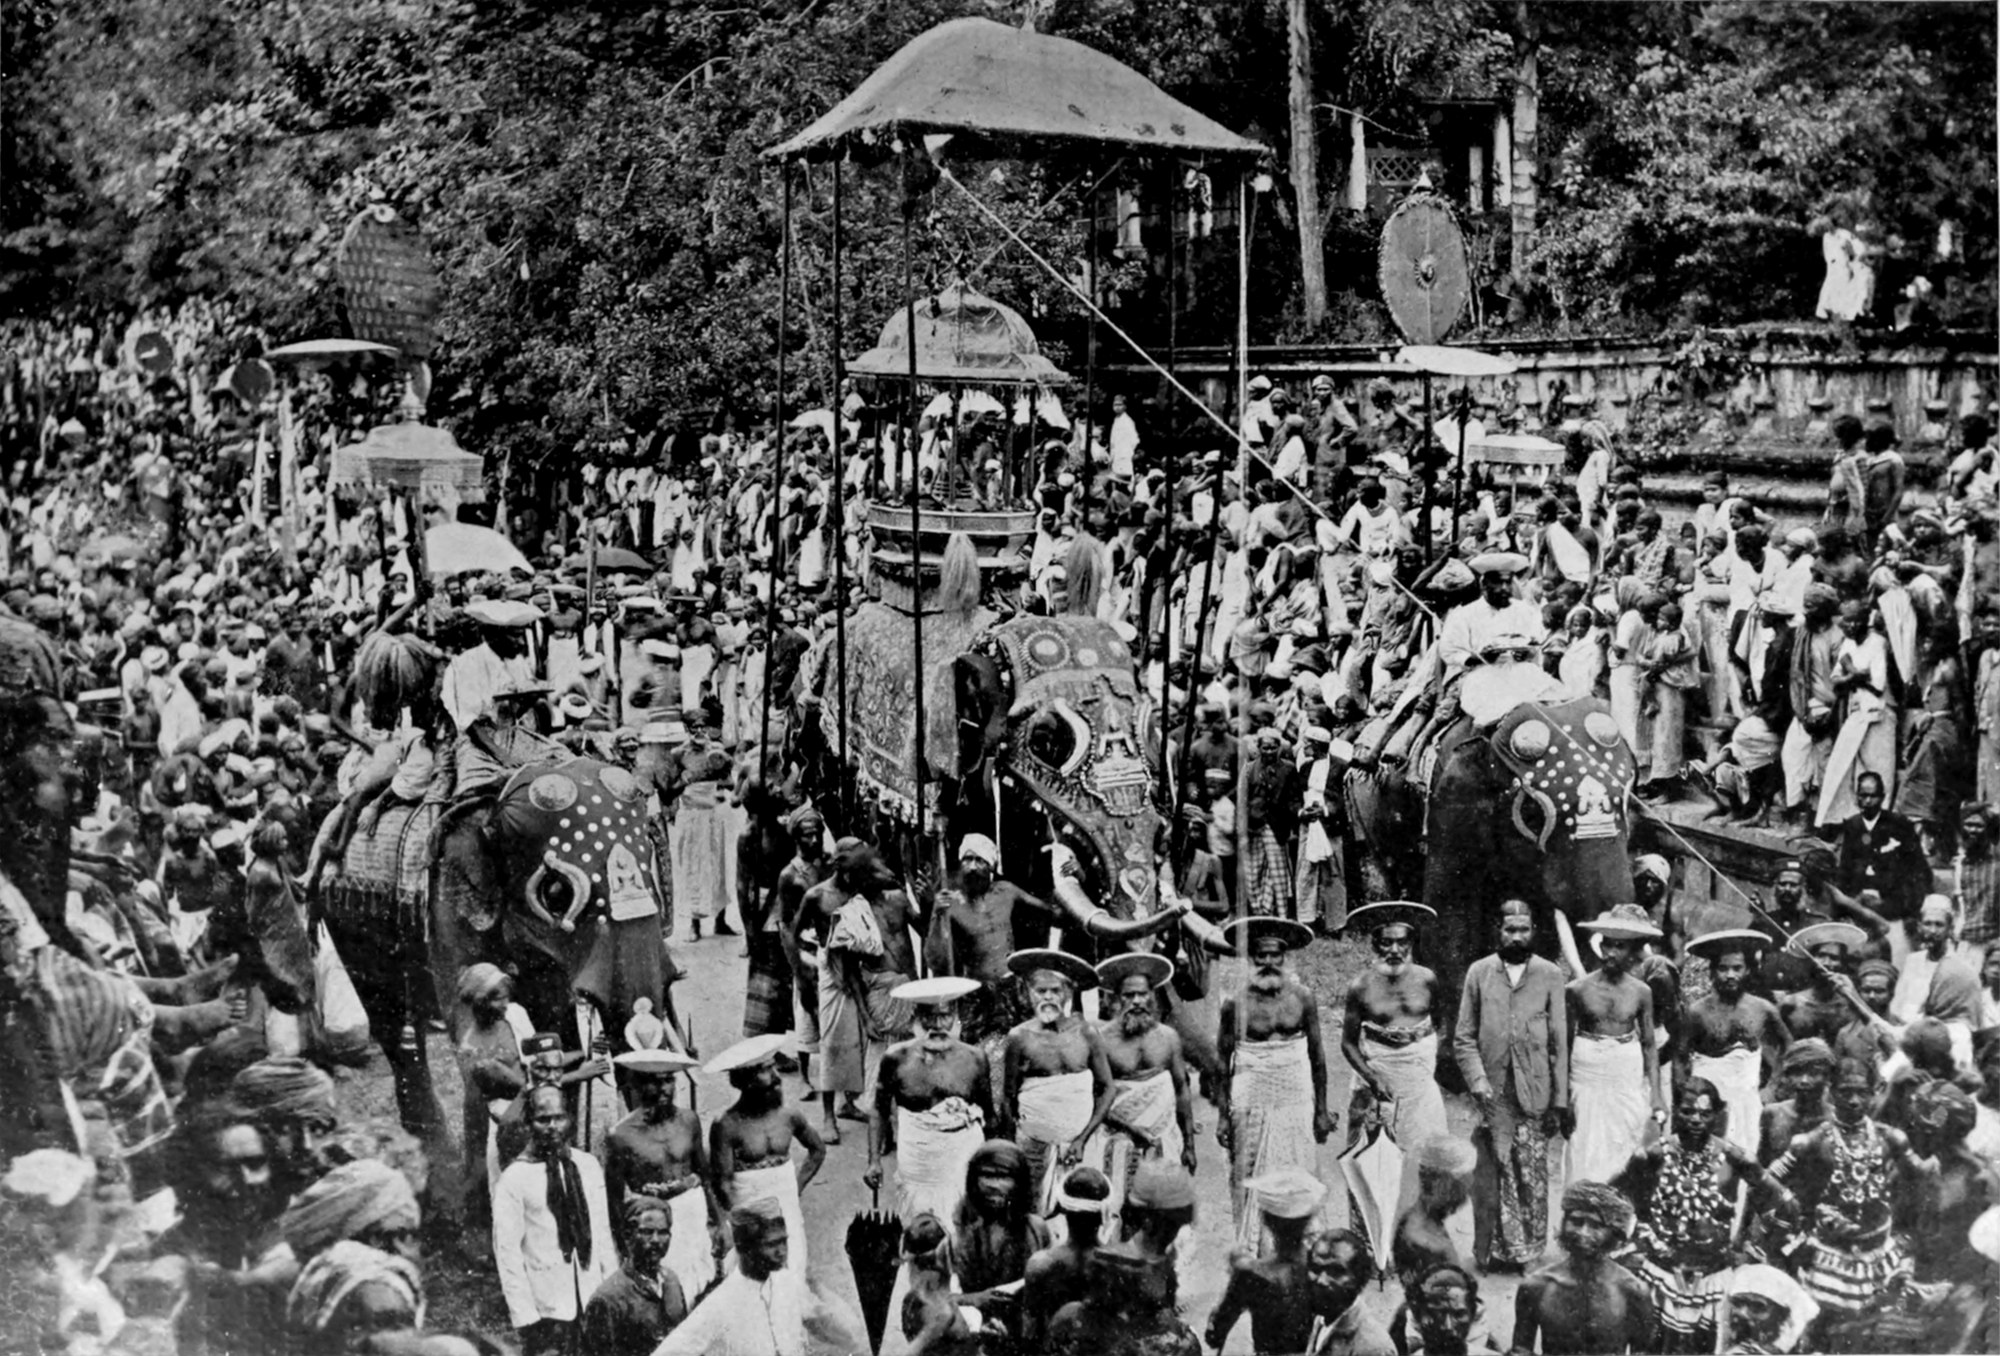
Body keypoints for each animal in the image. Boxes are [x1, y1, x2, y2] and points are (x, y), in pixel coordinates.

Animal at [316, 753, 678, 1137]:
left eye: (652, 878)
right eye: (555, 893)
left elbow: (559, 1030)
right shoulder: (447, 905)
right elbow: (468, 1028)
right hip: (349, 929)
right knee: (390, 1022)